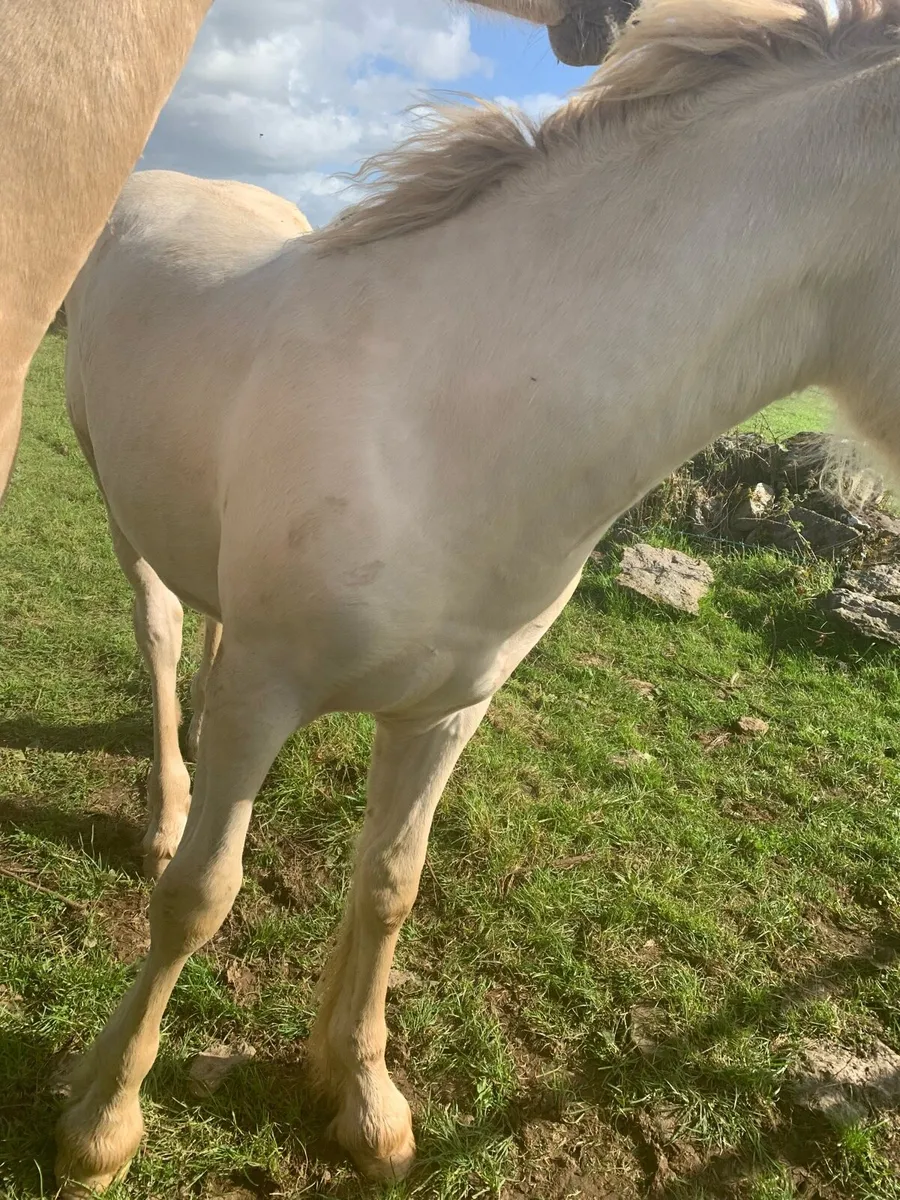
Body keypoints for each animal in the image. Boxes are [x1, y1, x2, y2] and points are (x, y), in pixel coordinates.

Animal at [57, 0, 900, 1191]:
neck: (451, 427)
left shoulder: (448, 709)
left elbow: (389, 886)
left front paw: (361, 1099)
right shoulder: (268, 693)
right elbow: (196, 897)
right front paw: (103, 1122)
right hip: (121, 510)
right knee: (164, 633)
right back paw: (164, 804)